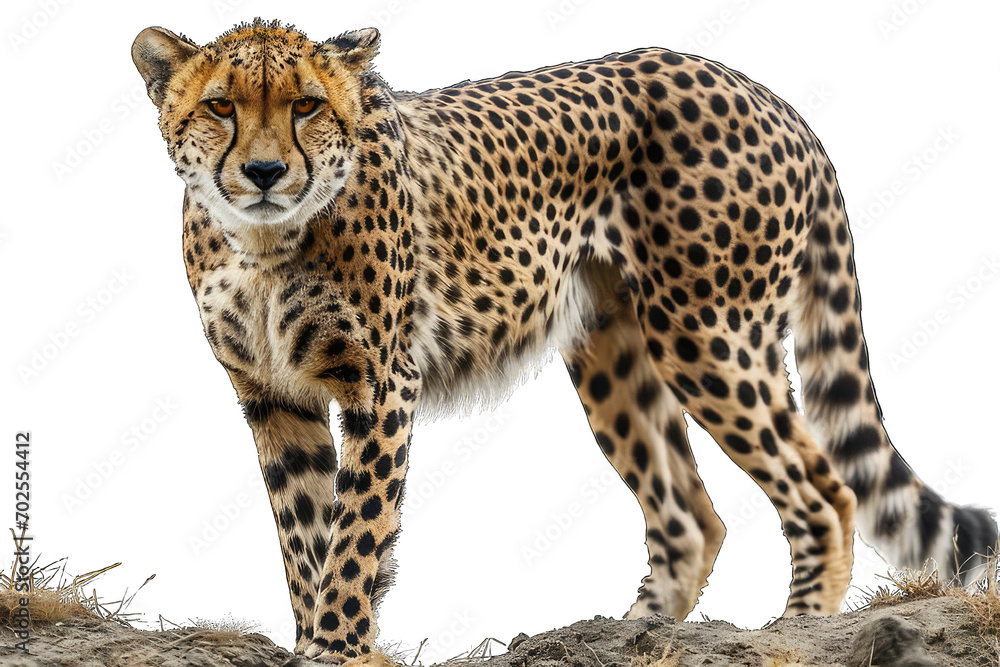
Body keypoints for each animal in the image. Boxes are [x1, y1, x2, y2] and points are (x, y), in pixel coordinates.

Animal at [132, 19, 997, 663]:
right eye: (220, 106)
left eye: (308, 105)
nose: (266, 171)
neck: (260, 242)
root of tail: (764, 91)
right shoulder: (273, 394)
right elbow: (304, 530)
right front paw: (318, 633)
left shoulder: (382, 382)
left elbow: (357, 528)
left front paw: (338, 643)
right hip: (612, 349)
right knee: (692, 516)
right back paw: (631, 631)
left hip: (708, 334)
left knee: (824, 489)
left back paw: (800, 626)